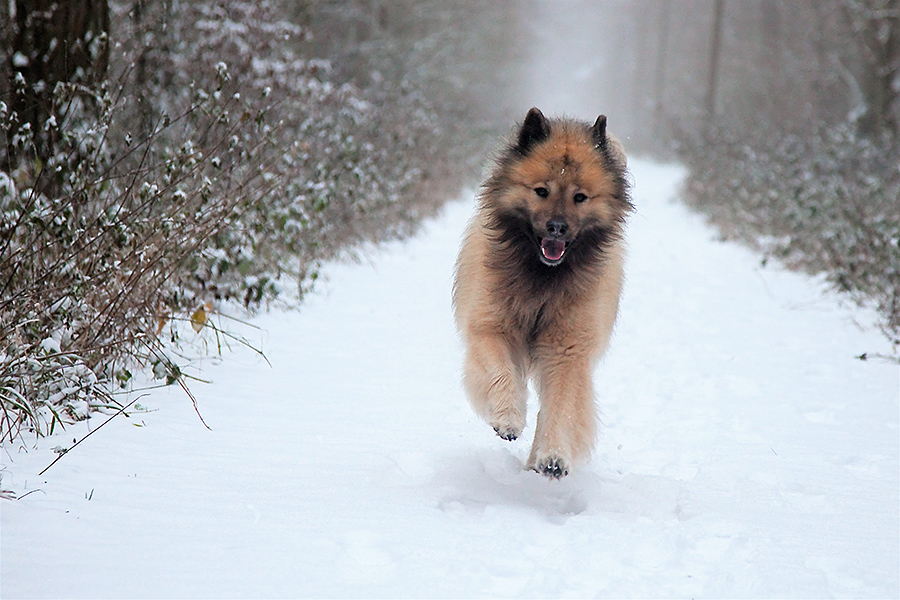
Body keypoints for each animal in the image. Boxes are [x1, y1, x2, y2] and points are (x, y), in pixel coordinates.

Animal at [450, 104, 632, 478]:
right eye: (541, 191)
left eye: (580, 197)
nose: (557, 228)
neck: (542, 279)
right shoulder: (491, 328)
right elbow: (501, 374)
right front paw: (508, 419)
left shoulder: (567, 350)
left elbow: (562, 408)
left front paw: (552, 456)